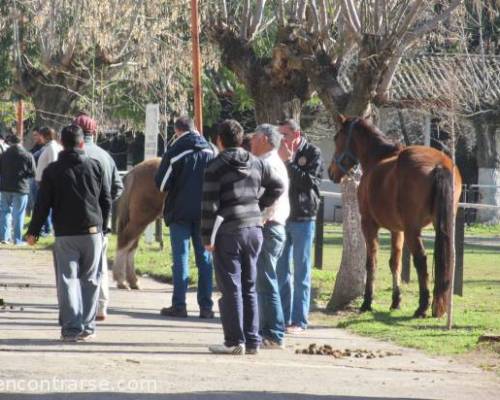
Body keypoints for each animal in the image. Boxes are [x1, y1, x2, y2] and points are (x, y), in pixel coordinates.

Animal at [112, 158, 165, 290]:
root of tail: (134, 171)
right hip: (141, 218)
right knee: (125, 241)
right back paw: (121, 280)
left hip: (140, 221)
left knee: (131, 246)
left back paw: (132, 281)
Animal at [328, 114, 460, 318]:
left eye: (336, 138)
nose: (330, 171)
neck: (378, 158)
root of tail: (439, 165)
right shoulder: (397, 230)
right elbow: (395, 263)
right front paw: (396, 301)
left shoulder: (369, 225)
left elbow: (371, 262)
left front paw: (367, 302)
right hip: (443, 226)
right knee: (446, 258)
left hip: (413, 230)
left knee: (421, 260)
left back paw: (422, 306)